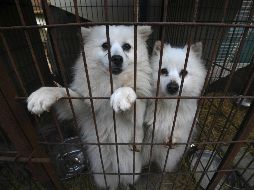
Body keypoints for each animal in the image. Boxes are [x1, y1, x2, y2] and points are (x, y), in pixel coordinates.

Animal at [27, 25, 152, 190]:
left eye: (127, 47)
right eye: (105, 45)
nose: (117, 58)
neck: (111, 83)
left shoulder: (138, 115)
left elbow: (131, 94)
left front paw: (122, 95)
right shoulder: (83, 107)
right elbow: (65, 92)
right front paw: (43, 94)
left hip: (129, 170)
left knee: (125, 181)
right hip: (103, 175)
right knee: (112, 184)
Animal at [143, 41, 206, 172]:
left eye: (184, 73)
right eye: (163, 71)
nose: (173, 87)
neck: (170, 105)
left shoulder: (185, 124)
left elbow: (178, 132)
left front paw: (172, 138)